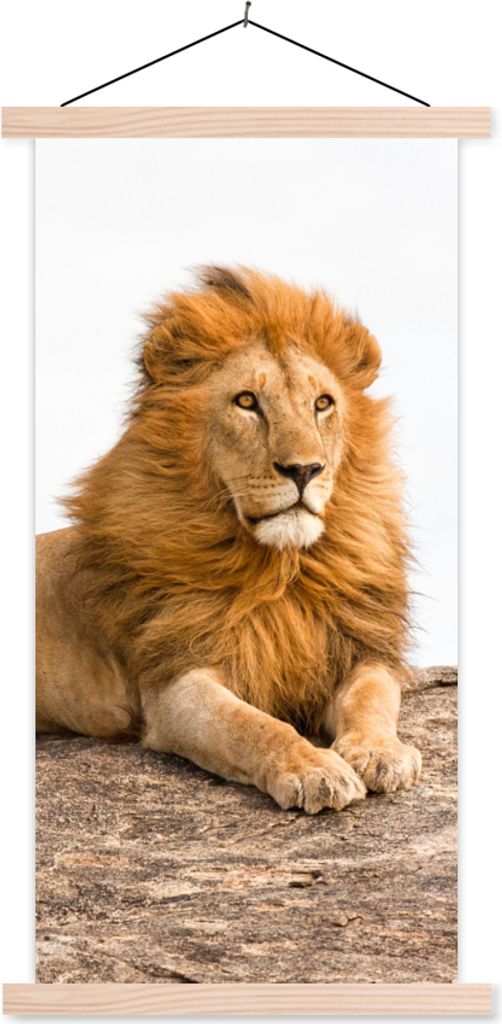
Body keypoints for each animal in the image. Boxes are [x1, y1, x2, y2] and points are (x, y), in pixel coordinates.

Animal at [36, 266, 421, 814]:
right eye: (247, 402)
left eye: (322, 403)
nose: (304, 469)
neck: (282, 570)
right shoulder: (176, 681)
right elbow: (253, 726)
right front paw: (315, 769)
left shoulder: (358, 649)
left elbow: (371, 696)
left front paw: (380, 752)